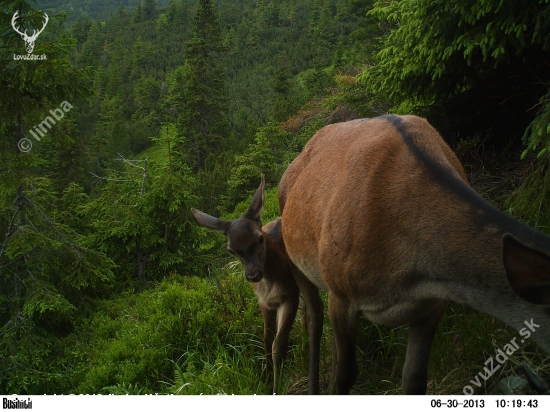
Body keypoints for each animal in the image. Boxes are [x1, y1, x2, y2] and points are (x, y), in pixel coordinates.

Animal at [193, 175, 326, 394]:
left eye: (260, 239)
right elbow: (266, 339)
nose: (253, 274)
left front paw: (277, 387)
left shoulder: (289, 295)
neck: (270, 285)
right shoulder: (264, 302)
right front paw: (265, 380)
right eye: (231, 250)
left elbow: (278, 344)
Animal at [280, 114, 550, 394]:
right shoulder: (341, 292)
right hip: (296, 258)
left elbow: (414, 378)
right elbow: (346, 376)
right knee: (313, 318)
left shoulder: (433, 304)